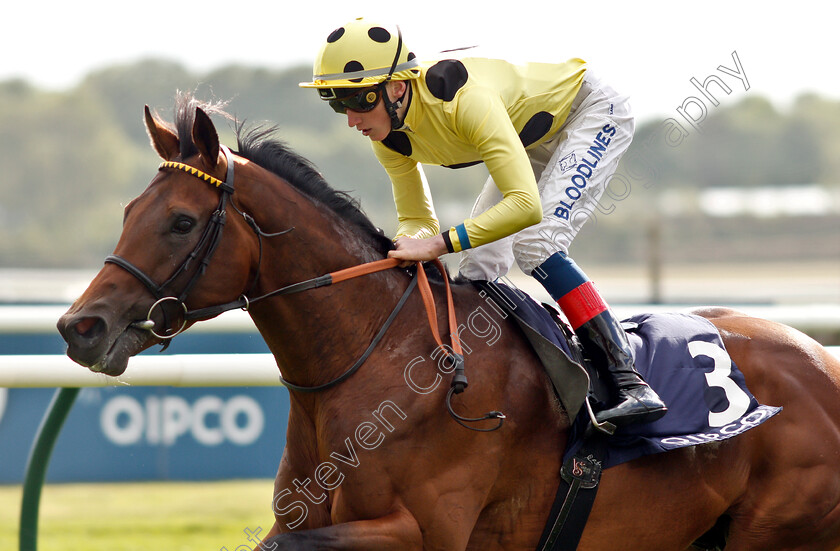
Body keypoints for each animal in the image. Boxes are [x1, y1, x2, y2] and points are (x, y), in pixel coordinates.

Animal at [57, 92, 840, 548]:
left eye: (182, 223)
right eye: (129, 212)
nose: (79, 327)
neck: (383, 361)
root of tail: (822, 360)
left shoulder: (425, 529)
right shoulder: (308, 513)